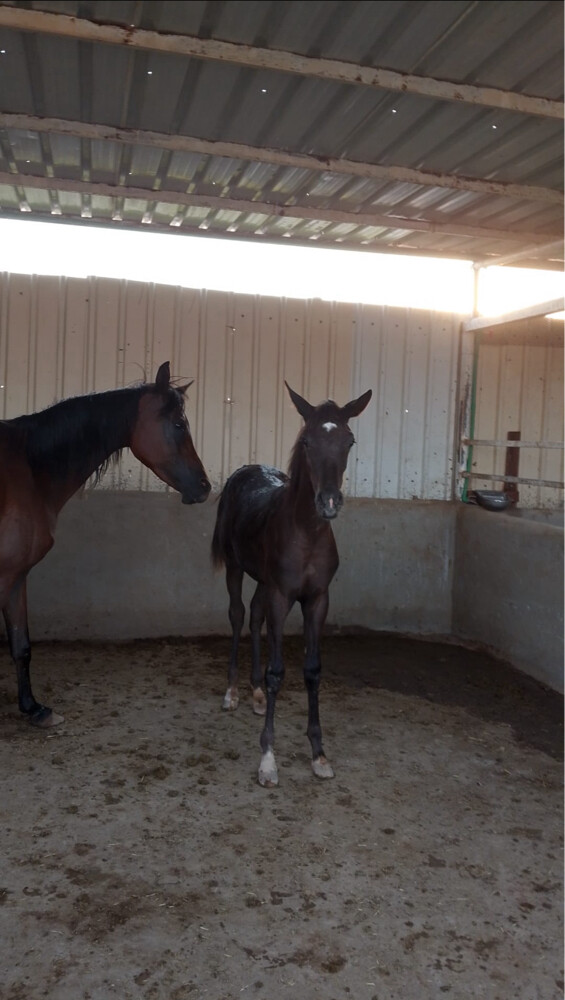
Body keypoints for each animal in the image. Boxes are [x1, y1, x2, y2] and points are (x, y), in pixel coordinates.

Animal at [0, 361, 210, 728]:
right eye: (179, 424)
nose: (204, 486)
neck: (28, 469)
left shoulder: (15, 577)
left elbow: (21, 645)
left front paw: (33, 708)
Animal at [211, 381, 372, 787]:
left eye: (349, 441)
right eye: (307, 442)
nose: (329, 501)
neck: (308, 533)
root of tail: (246, 470)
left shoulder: (317, 600)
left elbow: (312, 671)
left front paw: (319, 755)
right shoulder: (282, 597)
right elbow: (277, 671)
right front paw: (268, 759)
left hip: (262, 580)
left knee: (254, 617)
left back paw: (254, 695)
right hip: (236, 569)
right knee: (238, 615)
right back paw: (233, 692)